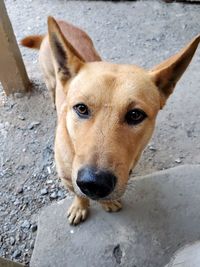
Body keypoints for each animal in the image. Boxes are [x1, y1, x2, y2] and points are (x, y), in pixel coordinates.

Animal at [21, 16, 199, 226]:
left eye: (135, 115)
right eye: (81, 108)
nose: (94, 184)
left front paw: (107, 202)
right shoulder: (67, 178)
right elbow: (78, 194)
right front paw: (80, 207)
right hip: (50, 78)